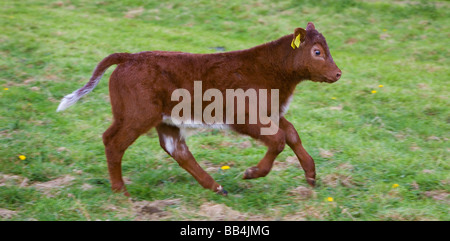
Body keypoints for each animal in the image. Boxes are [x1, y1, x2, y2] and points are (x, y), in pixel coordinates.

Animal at [58, 22, 342, 196]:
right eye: (317, 52)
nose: (338, 73)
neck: (269, 69)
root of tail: (130, 56)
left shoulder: (271, 112)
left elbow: (291, 134)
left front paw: (311, 176)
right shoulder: (244, 116)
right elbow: (279, 139)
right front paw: (251, 173)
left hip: (163, 119)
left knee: (176, 149)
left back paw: (216, 187)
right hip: (137, 115)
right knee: (114, 142)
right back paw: (121, 192)